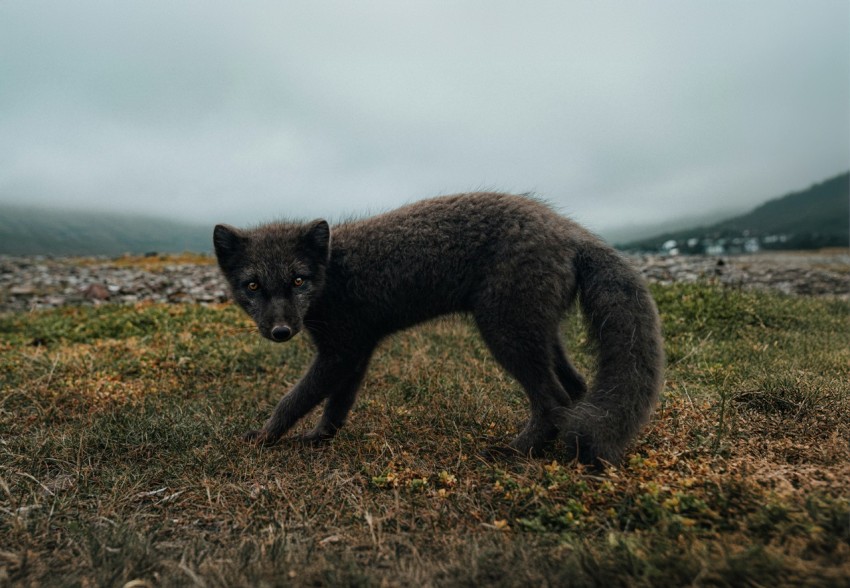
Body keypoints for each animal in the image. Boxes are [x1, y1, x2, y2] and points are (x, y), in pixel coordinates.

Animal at [212, 195, 664, 466]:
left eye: (298, 281)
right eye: (253, 286)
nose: (281, 331)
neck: (333, 274)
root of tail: (569, 230)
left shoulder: (340, 352)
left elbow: (294, 399)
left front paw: (264, 437)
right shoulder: (356, 350)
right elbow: (337, 406)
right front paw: (319, 438)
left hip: (505, 332)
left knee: (553, 398)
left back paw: (516, 452)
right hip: (540, 333)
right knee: (576, 387)